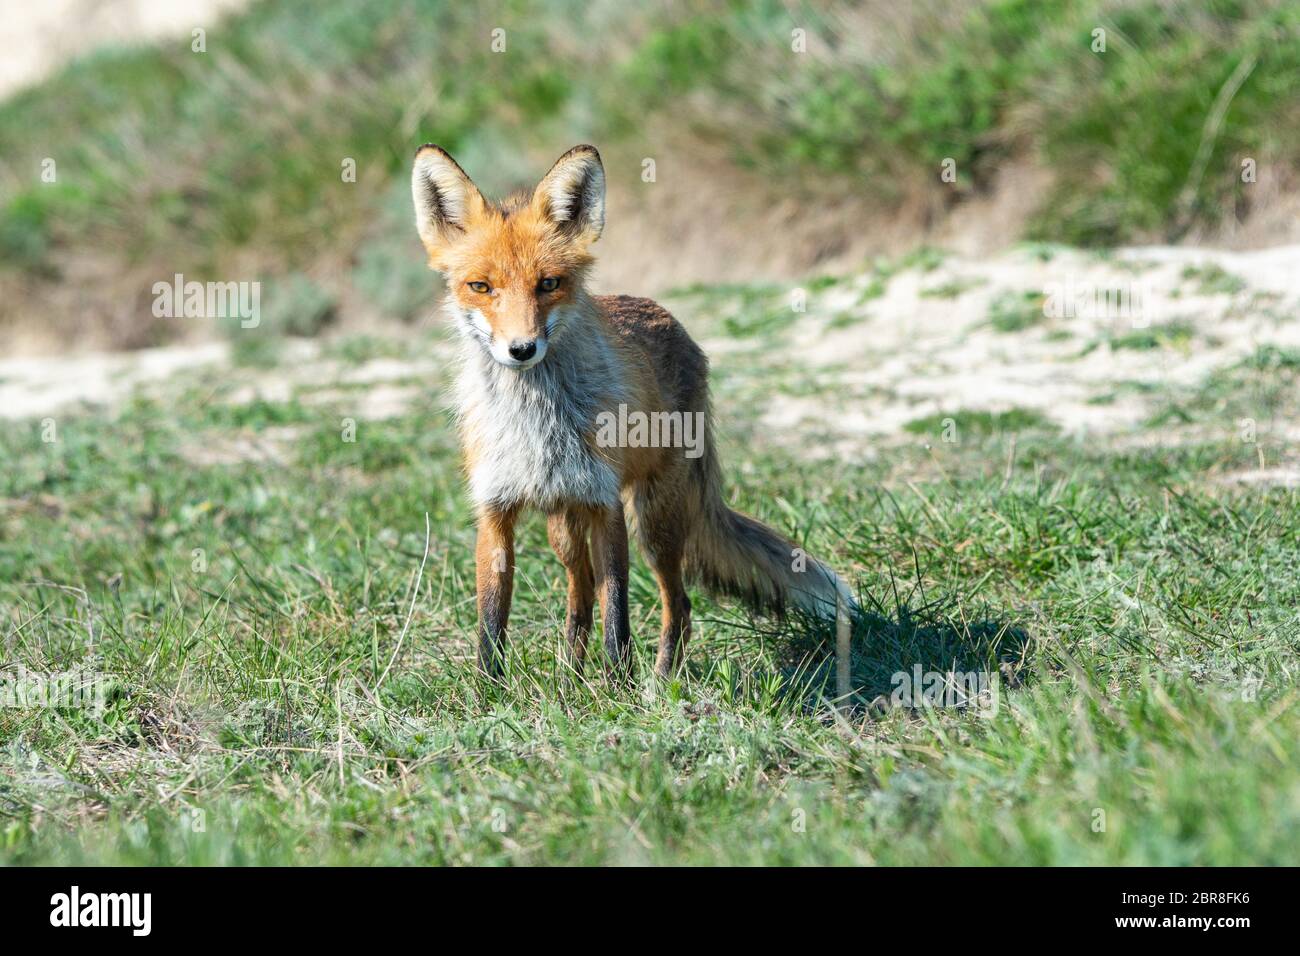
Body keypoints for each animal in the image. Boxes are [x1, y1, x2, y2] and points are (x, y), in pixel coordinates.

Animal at [411, 143, 856, 679]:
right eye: (480, 286)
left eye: (549, 283)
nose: (521, 349)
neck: (537, 425)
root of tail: (672, 322)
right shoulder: (494, 510)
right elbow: (492, 622)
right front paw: (488, 691)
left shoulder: (605, 505)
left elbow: (618, 615)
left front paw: (618, 687)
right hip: (564, 527)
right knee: (580, 596)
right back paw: (571, 675)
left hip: (654, 522)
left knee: (677, 603)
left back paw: (659, 682)